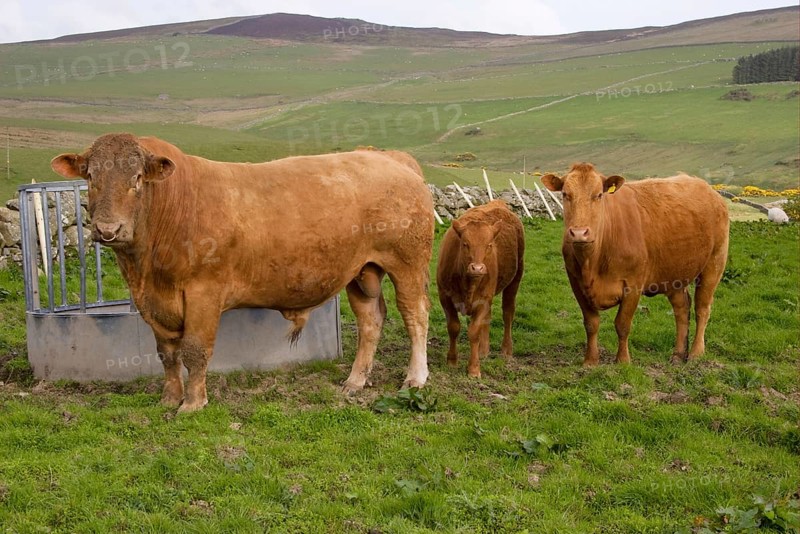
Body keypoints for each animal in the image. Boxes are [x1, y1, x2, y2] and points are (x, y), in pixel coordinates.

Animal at [51, 133, 434, 412]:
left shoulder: (204, 292)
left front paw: (193, 403)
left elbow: (195, 349)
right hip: (361, 271)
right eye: (91, 177)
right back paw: (355, 381)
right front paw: (169, 398)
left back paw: (415, 378)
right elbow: (167, 352)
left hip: (408, 263)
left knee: (415, 314)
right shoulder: (152, 303)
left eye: (138, 178)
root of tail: (388, 157)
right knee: (371, 320)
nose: (108, 230)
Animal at [436, 200, 525, 378]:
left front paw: (474, 368)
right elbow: (453, 328)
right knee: (488, 318)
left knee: (508, 313)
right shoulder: (445, 297)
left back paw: (506, 350)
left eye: (489, 245)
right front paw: (452, 361)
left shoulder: (483, 300)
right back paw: (484, 351)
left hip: (515, 279)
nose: (477, 268)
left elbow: (474, 332)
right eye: (465, 244)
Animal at [541, 163, 729, 366]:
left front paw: (623, 360)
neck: (592, 262)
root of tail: (708, 188)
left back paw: (695, 353)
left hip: (714, 263)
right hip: (675, 273)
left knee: (702, 309)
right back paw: (678, 355)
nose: (579, 233)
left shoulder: (633, 285)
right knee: (682, 308)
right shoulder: (576, 283)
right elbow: (591, 324)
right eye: (565, 194)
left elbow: (622, 324)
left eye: (598, 195)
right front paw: (590, 361)